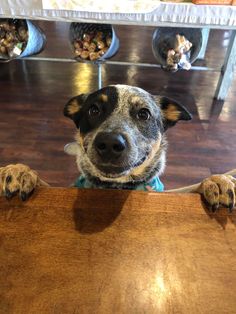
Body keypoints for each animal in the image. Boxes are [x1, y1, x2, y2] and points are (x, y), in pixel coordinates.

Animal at [0, 84, 235, 211]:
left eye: (143, 113)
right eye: (94, 110)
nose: (110, 143)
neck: (116, 187)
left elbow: (189, 188)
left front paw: (216, 181)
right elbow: (43, 182)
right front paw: (19, 172)